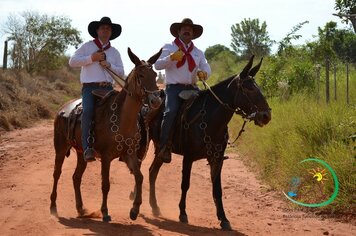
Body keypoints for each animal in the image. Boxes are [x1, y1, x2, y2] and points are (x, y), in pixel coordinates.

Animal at [49, 47, 163, 221]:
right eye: (141, 75)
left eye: (155, 74)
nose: (156, 101)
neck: (123, 120)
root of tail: (62, 108)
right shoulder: (106, 157)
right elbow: (105, 184)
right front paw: (105, 212)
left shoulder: (129, 154)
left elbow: (139, 177)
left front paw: (134, 209)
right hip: (60, 148)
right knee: (57, 173)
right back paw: (53, 207)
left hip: (82, 153)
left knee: (76, 177)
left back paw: (81, 208)